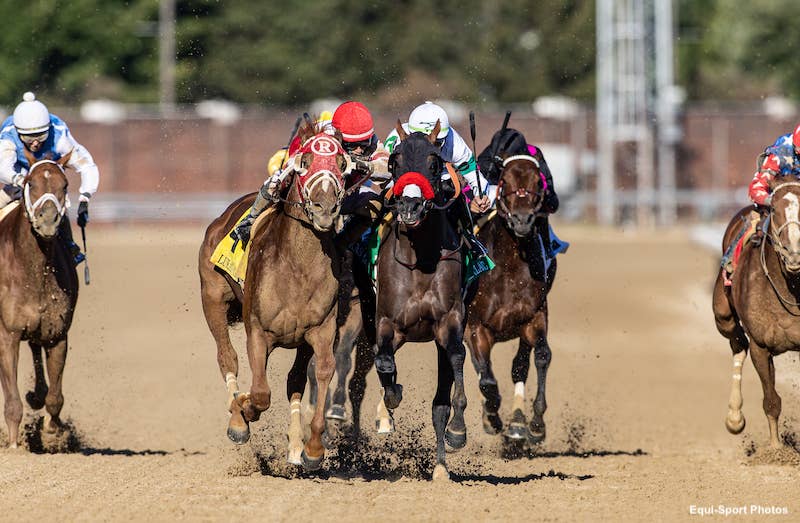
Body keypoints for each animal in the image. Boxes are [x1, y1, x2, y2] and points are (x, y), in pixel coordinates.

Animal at [0, 150, 79, 448]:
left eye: (65, 185)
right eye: (30, 183)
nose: (47, 220)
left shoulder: (57, 333)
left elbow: (55, 397)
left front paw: (52, 432)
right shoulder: (7, 333)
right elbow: (12, 402)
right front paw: (14, 445)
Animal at [198, 125, 351, 469]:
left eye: (341, 163)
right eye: (304, 162)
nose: (326, 208)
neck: (297, 267)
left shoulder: (320, 330)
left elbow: (322, 371)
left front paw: (312, 449)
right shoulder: (258, 331)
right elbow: (259, 393)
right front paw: (243, 411)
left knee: (295, 380)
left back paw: (295, 446)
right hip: (212, 296)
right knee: (226, 356)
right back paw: (238, 418)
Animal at [371, 120, 467, 481]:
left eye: (435, 163)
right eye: (395, 161)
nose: (409, 208)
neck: (420, 260)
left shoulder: (449, 322)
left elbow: (456, 357)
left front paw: (458, 430)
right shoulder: (388, 322)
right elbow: (384, 362)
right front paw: (392, 399)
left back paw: (440, 466)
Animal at [465, 153, 555, 445]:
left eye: (538, 181)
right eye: (504, 180)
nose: (522, 220)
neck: (509, 267)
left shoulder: (534, 317)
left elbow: (540, 356)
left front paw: (534, 423)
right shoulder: (476, 326)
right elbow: (486, 378)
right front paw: (491, 417)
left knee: (520, 364)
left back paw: (517, 422)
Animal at [713, 178, 800, 450]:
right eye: (774, 209)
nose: (795, 253)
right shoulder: (761, 346)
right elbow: (771, 401)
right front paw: (775, 450)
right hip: (723, 314)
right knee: (738, 343)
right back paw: (734, 417)